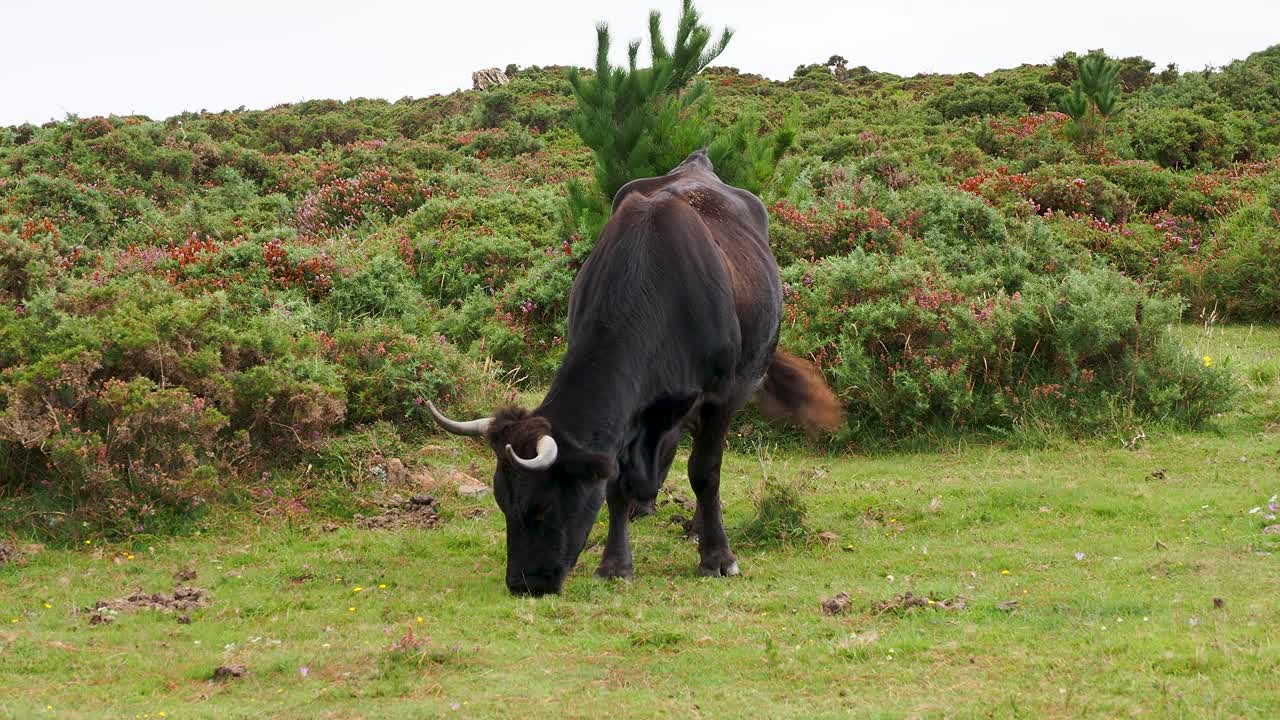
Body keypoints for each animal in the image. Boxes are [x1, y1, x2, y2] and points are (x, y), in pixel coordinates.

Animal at [430, 149, 839, 594]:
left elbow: (705, 472)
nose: (525, 583)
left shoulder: (720, 397)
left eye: (541, 507)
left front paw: (717, 556)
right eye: (502, 502)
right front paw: (615, 562)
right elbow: (616, 484)